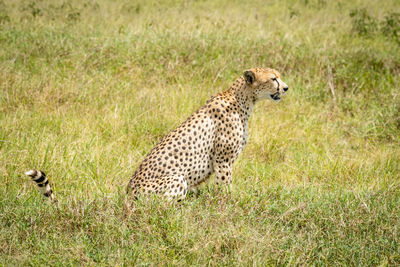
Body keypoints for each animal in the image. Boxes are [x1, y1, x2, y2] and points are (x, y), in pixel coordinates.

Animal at [25, 67, 288, 203]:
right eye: (273, 78)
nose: (286, 87)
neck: (244, 99)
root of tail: (127, 195)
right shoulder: (223, 161)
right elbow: (225, 187)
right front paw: (228, 205)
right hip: (176, 179)